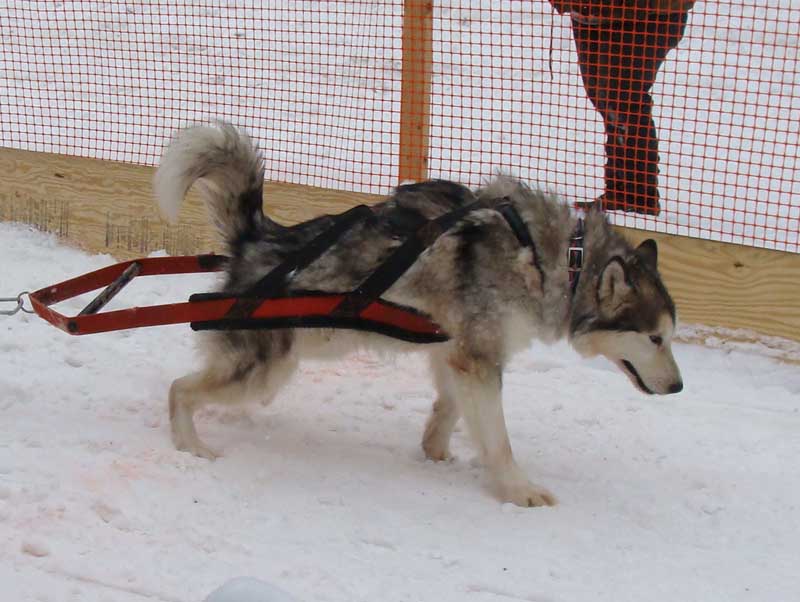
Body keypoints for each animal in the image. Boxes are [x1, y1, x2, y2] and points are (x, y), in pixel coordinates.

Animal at [155, 123, 680, 506]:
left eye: (670, 336)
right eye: (655, 338)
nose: (678, 387)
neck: (557, 259)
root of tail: (260, 238)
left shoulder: (456, 353)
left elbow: (449, 408)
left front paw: (436, 451)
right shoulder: (480, 359)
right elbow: (499, 440)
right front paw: (517, 489)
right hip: (263, 369)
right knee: (178, 389)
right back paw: (190, 445)